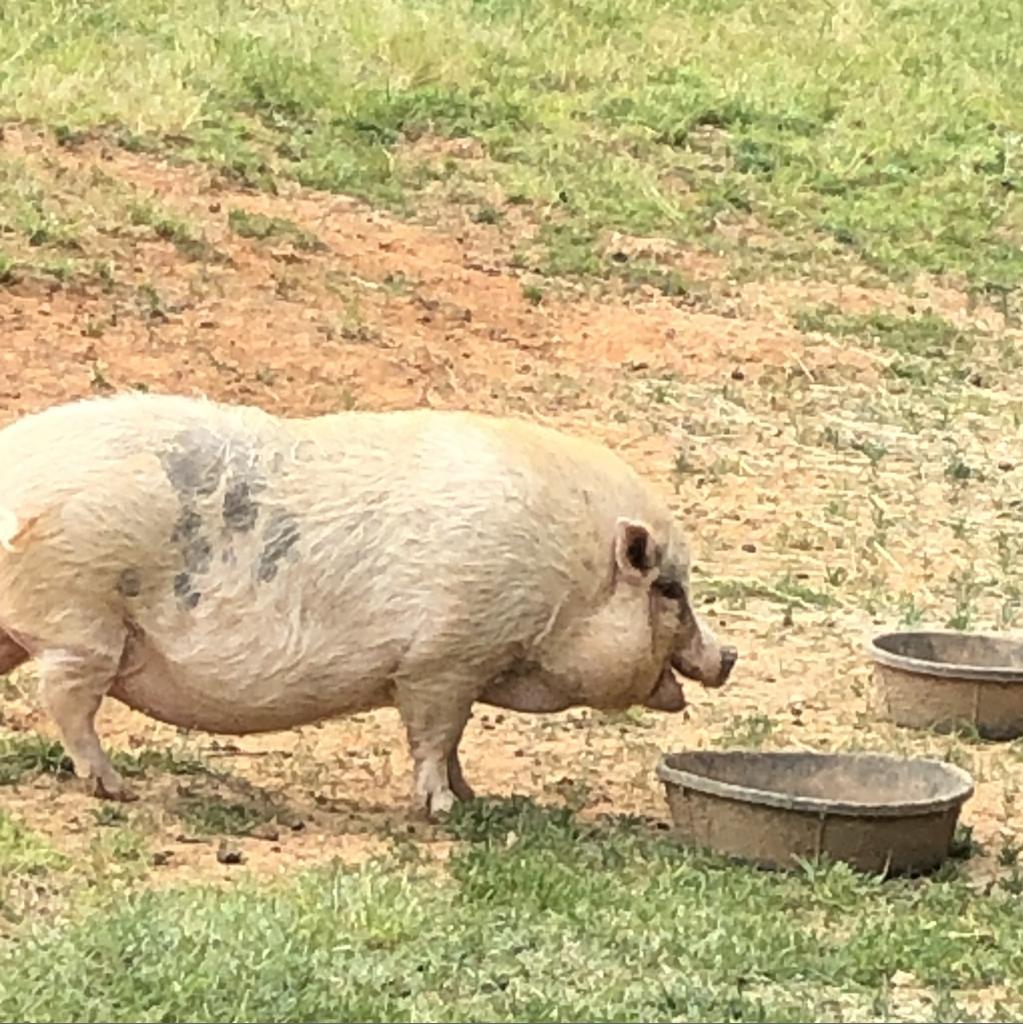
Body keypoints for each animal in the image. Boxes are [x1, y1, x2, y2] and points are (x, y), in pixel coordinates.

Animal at [0, 392, 736, 816]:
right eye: (669, 589)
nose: (728, 656)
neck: (565, 580)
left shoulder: (459, 667)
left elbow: (454, 740)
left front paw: (474, 798)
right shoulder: (443, 659)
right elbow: (434, 736)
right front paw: (442, 811)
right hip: (81, 618)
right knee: (65, 700)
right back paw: (115, 787)